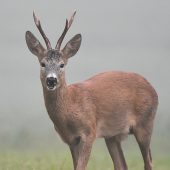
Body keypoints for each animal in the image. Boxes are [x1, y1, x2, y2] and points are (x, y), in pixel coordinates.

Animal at [25, 10, 158, 170]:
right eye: (42, 63)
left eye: (62, 64)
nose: (51, 80)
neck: (70, 107)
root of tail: (153, 89)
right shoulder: (71, 140)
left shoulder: (89, 132)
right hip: (112, 135)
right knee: (122, 164)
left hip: (145, 122)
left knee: (148, 162)